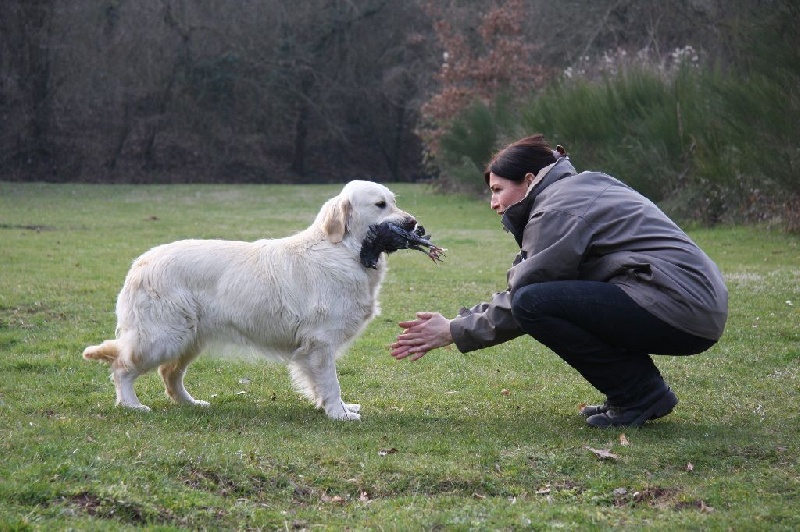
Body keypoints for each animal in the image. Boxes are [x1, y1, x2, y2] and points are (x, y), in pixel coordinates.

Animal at [82, 181, 418, 422]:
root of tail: (140, 263)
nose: (414, 223)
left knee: (169, 374)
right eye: (380, 204)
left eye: (394, 200)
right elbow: (330, 382)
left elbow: (320, 384)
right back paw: (131, 405)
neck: (343, 250)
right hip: (162, 337)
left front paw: (339, 407)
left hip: (189, 339)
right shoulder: (320, 342)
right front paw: (339, 413)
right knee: (122, 366)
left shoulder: (314, 346)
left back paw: (192, 403)